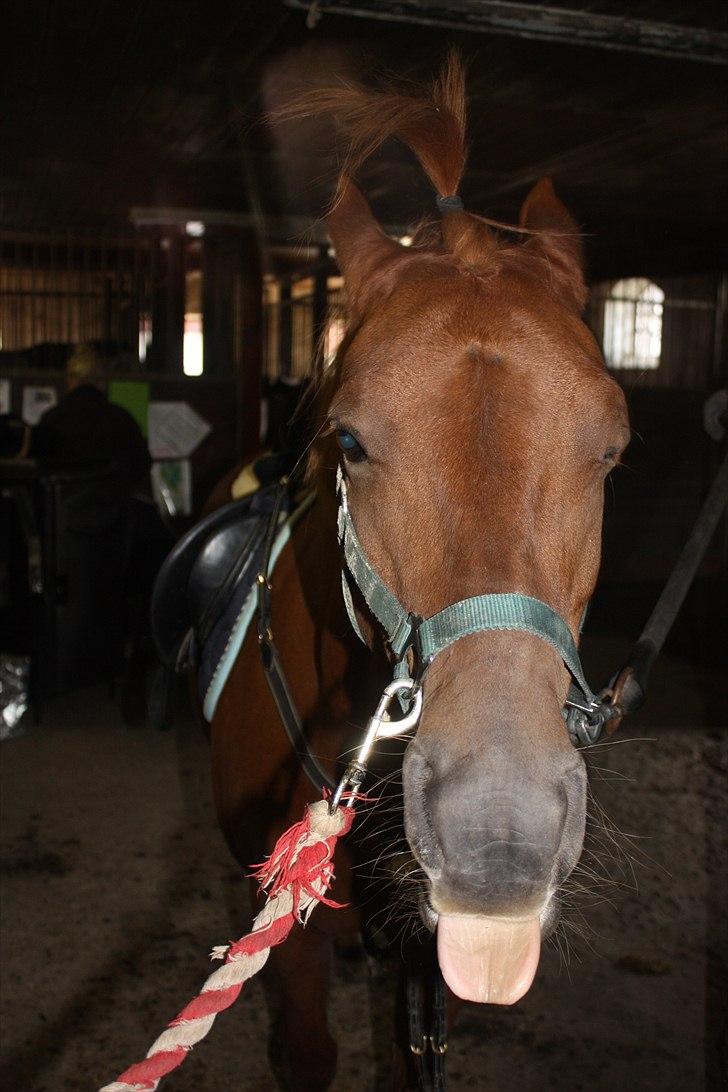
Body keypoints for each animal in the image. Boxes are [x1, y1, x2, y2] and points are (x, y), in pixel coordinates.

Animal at [207, 54, 630, 1090]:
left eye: (612, 450)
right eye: (351, 442)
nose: (498, 837)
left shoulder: (422, 970)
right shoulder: (295, 949)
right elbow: (306, 1049)